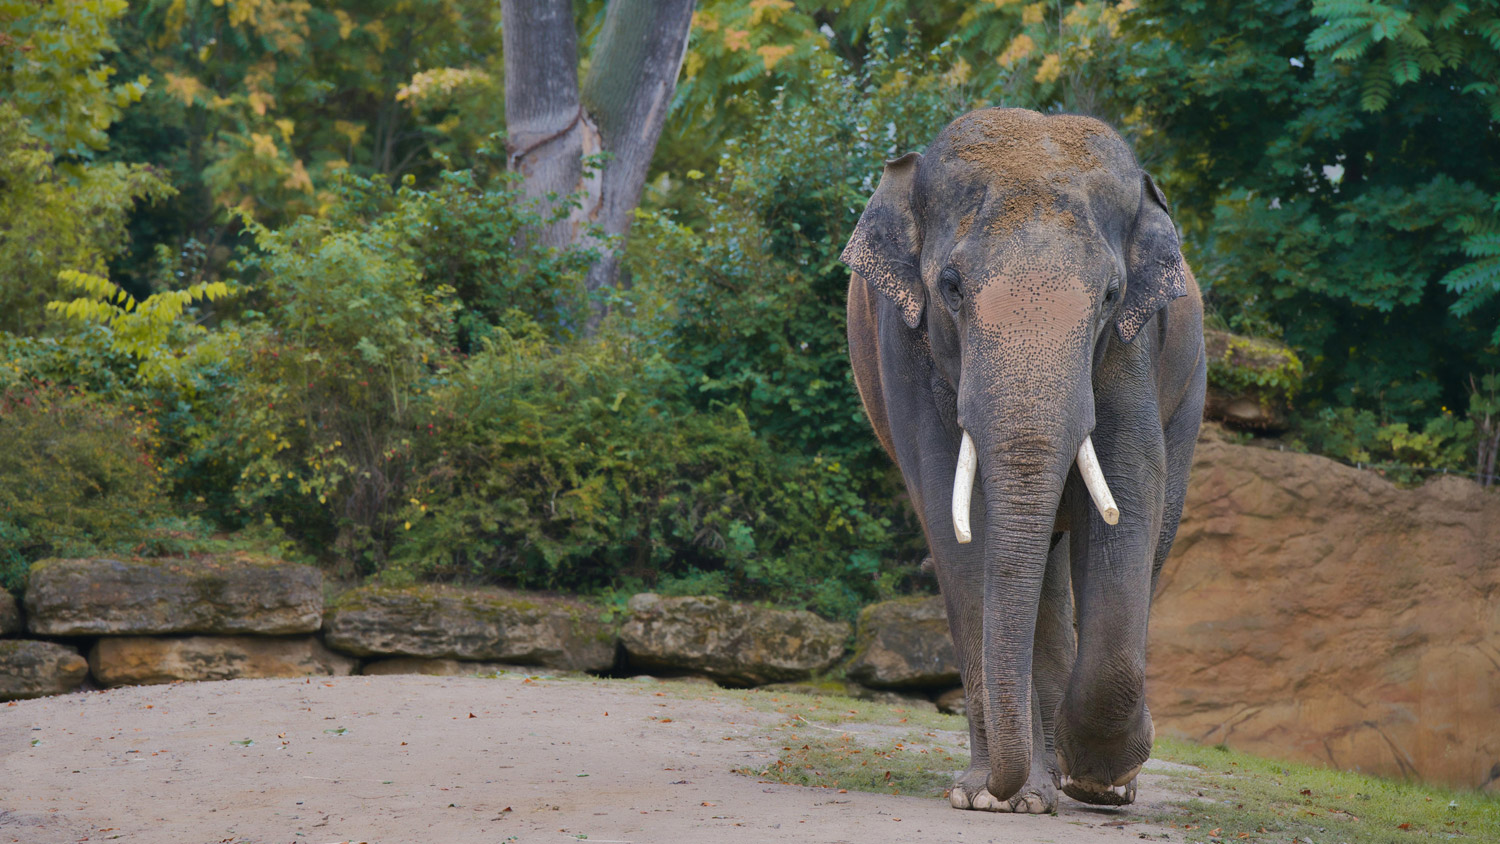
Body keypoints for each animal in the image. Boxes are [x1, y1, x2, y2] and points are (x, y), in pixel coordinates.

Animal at [842, 107, 1205, 813]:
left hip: (1191, 392)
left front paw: (1100, 777)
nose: (1000, 789)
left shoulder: (1131, 349)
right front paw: (993, 799)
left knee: (1150, 533)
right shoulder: (906, 344)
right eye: (951, 287)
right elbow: (953, 516)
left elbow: (1130, 493)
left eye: (1112, 294)